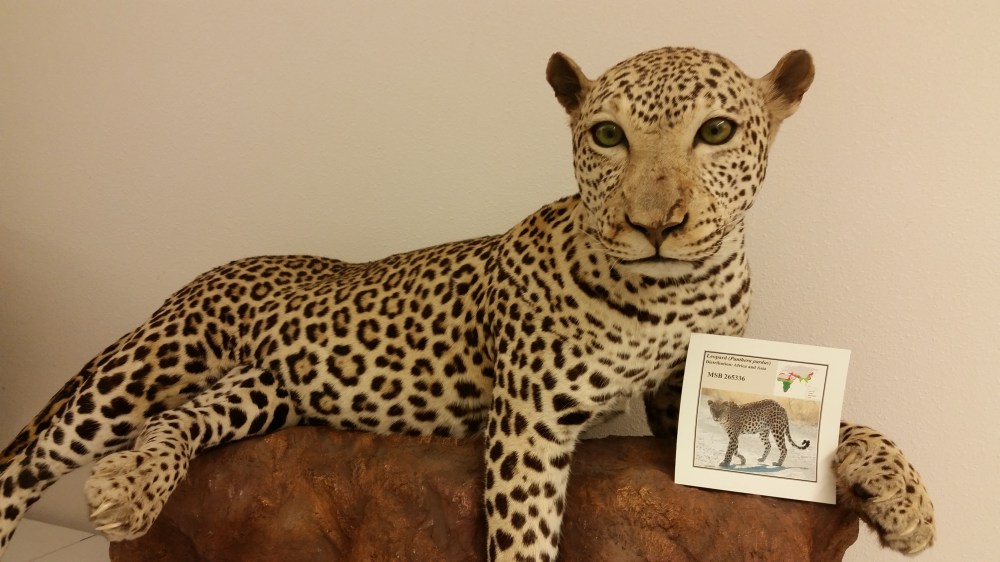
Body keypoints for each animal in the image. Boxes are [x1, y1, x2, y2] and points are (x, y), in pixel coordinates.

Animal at [0, 45, 936, 560]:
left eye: (716, 132)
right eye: (607, 136)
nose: (655, 224)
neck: (673, 292)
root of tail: (220, 267)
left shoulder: (683, 400)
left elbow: (851, 420)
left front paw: (904, 500)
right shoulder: (530, 425)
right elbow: (524, 541)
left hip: (263, 391)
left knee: (183, 418)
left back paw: (131, 488)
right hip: (147, 362)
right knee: (25, 459)